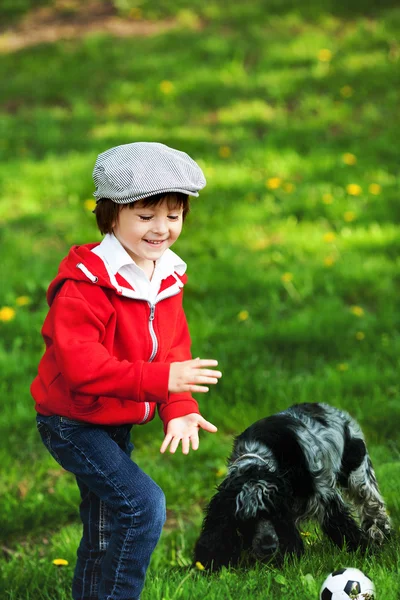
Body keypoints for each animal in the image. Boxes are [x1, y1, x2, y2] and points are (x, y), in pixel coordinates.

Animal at [194, 400, 390, 568]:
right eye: (246, 520)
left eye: (274, 514)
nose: (268, 547)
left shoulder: (324, 496)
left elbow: (342, 525)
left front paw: (365, 551)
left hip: (357, 472)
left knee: (373, 506)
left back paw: (382, 536)